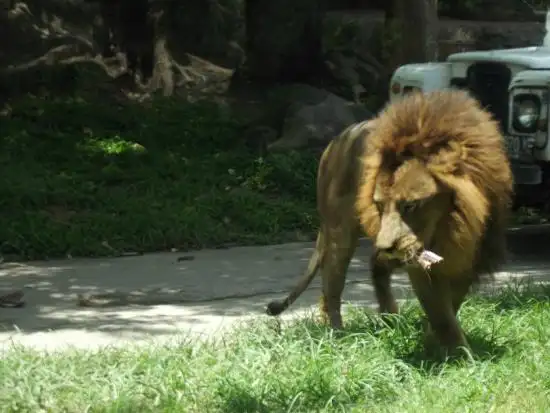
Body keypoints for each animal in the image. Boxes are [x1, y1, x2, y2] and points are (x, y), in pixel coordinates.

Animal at [268, 89, 516, 350]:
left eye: (410, 205)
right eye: (378, 205)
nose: (385, 246)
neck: (453, 227)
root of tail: (336, 141)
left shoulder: (471, 260)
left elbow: (451, 306)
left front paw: (431, 341)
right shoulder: (421, 266)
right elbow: (441, 315)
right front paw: (459, 354)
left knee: (374, 264)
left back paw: (391, 318)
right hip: (340, 231)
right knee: (331, 282)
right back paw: (337, 334)